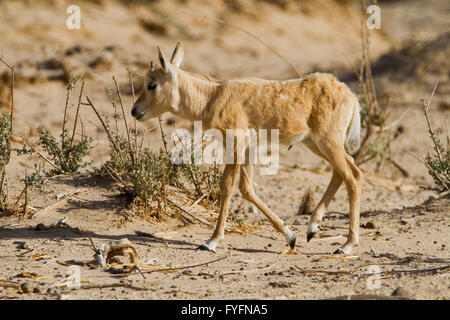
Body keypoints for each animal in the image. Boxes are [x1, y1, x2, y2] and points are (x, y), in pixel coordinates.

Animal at [132, 42, 364, 255]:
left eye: (152, 84)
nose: (135, 111)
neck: (212, 95)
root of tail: (350, 96)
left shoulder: (237, 142)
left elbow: (227, 185)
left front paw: (211, 241)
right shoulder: (246, 148)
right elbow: (247, 188)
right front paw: (291, 236)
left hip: (327, 142)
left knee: (352, 177)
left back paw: (346, 245)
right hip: (315, 144)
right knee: (346, 171)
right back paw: (312, 228)